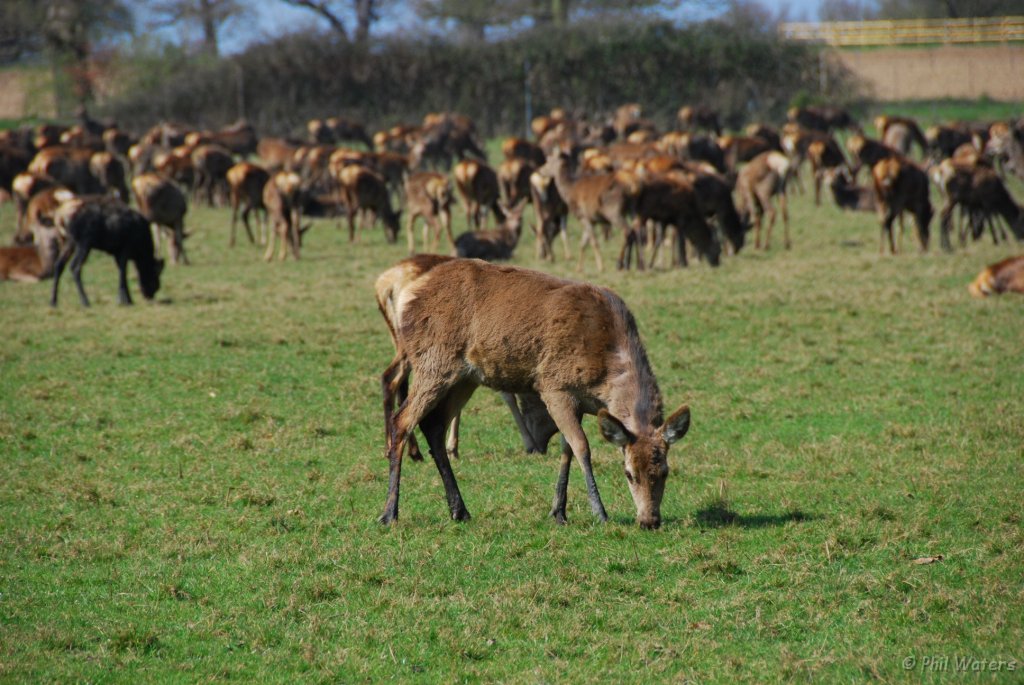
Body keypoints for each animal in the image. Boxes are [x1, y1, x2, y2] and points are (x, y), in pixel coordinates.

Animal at [372, 253, 692, 528]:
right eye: (628, 473)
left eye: (664, 471)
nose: (650, 520)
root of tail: (405, 297)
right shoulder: (553, 386)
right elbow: (581, 447)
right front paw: (599, 512)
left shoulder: (577, 401)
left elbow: (566, 448)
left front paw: (558, 511)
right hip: (432, 362)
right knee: (403, 420)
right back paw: (389, 513)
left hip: (465, 378)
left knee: (433, 425)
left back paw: (459, 510)